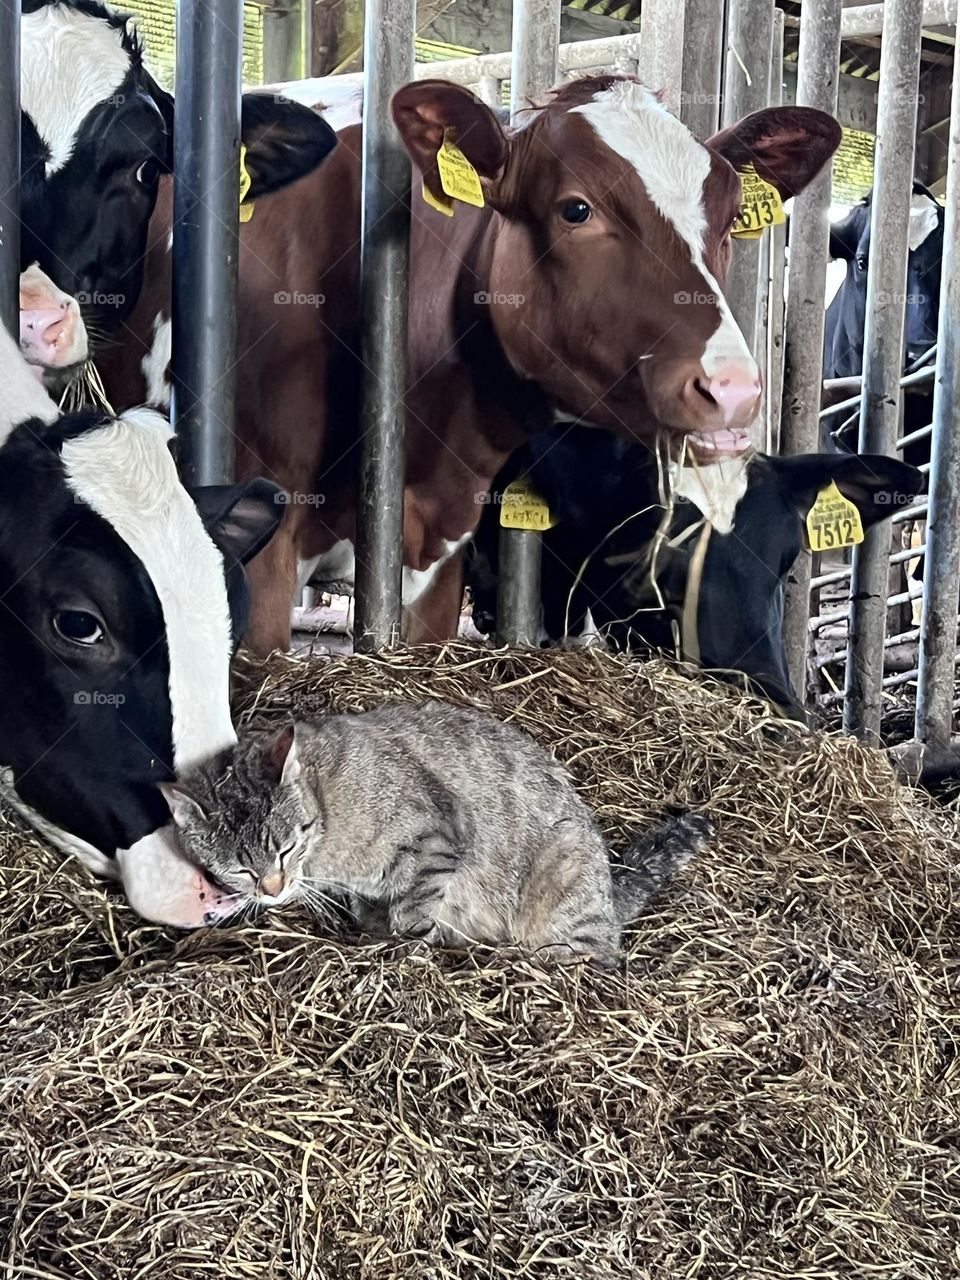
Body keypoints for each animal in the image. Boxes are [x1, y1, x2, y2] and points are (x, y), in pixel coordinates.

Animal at [160, 706, 716, 962]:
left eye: (288, 847)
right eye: (240, 868)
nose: (273, 890)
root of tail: (608, 881)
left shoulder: (434, 841)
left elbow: (414, 910)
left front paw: (406, 950)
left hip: (564, 882)